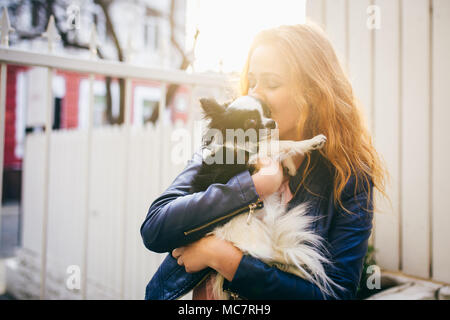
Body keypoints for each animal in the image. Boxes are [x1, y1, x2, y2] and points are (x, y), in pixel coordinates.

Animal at [191, 95, 338, 300]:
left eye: (268, 113)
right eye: (251, 122)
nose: (272, 123)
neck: (242, 143)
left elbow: (277, 145)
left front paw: (290, 166)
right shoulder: (251, 158)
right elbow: (282, 143)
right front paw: (311, 142)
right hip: (252, 231)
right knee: (274, 255)